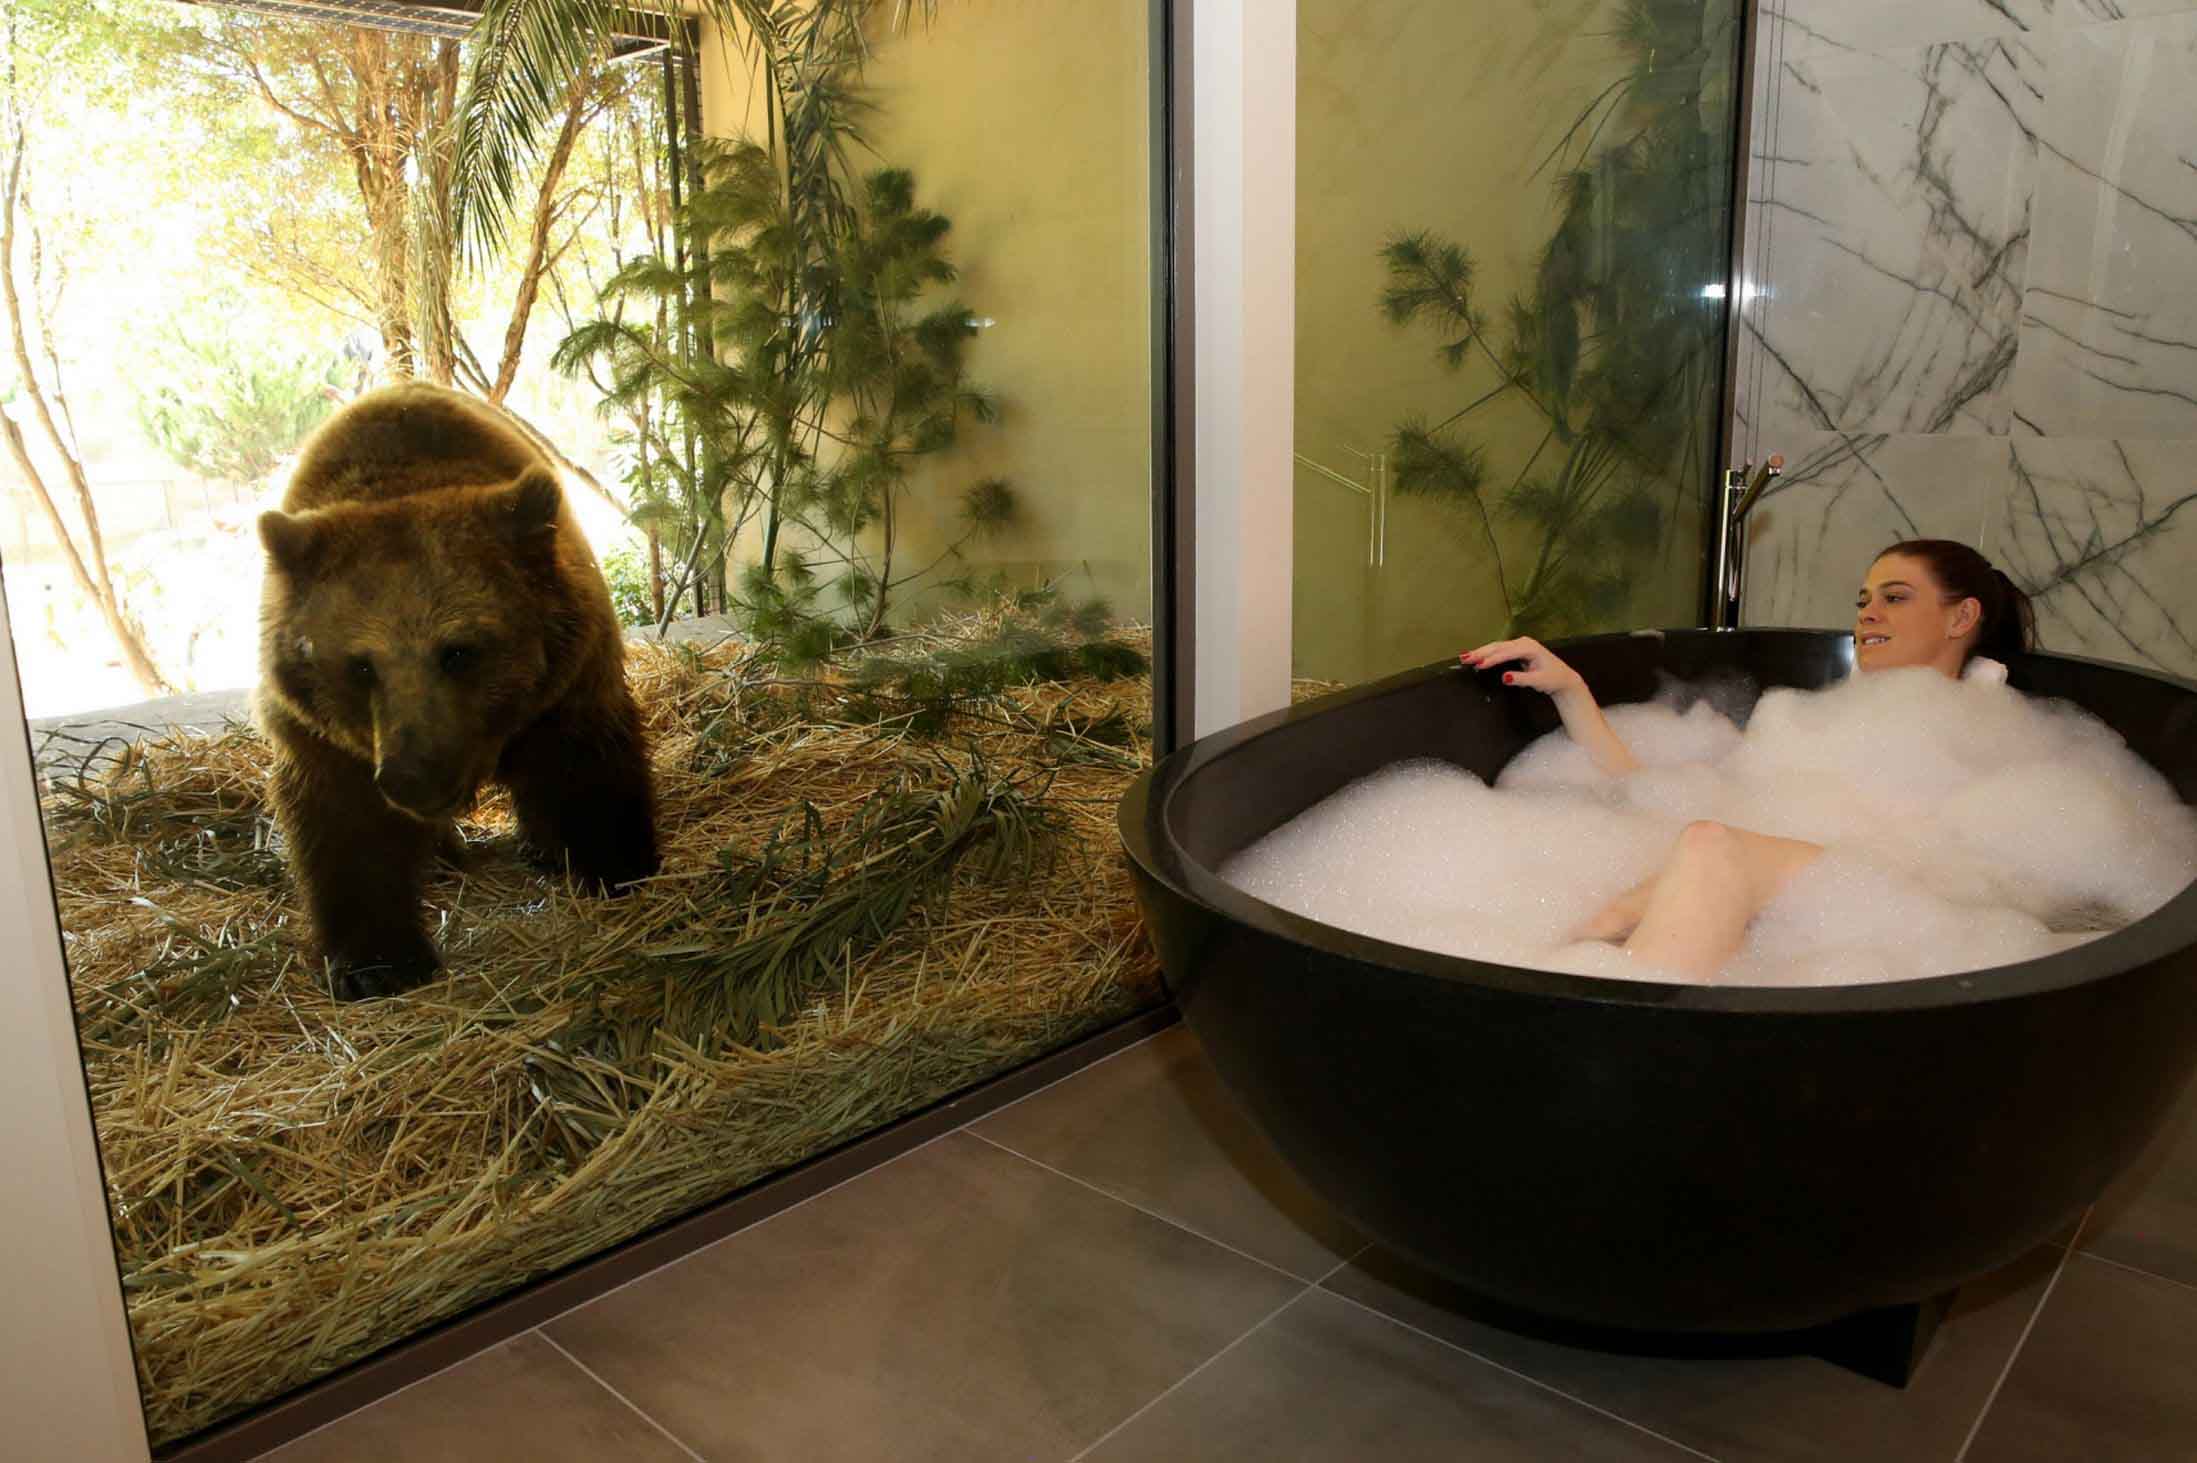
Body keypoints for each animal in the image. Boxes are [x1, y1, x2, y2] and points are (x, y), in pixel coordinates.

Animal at [253, 382, 654, 997]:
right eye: (360, 667)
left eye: (459, 651)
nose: (413, 774)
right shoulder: (321, 738)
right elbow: (347, 827)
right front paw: (378, 963)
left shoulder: (565, 688)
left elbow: (586, 763)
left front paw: (616, 860)